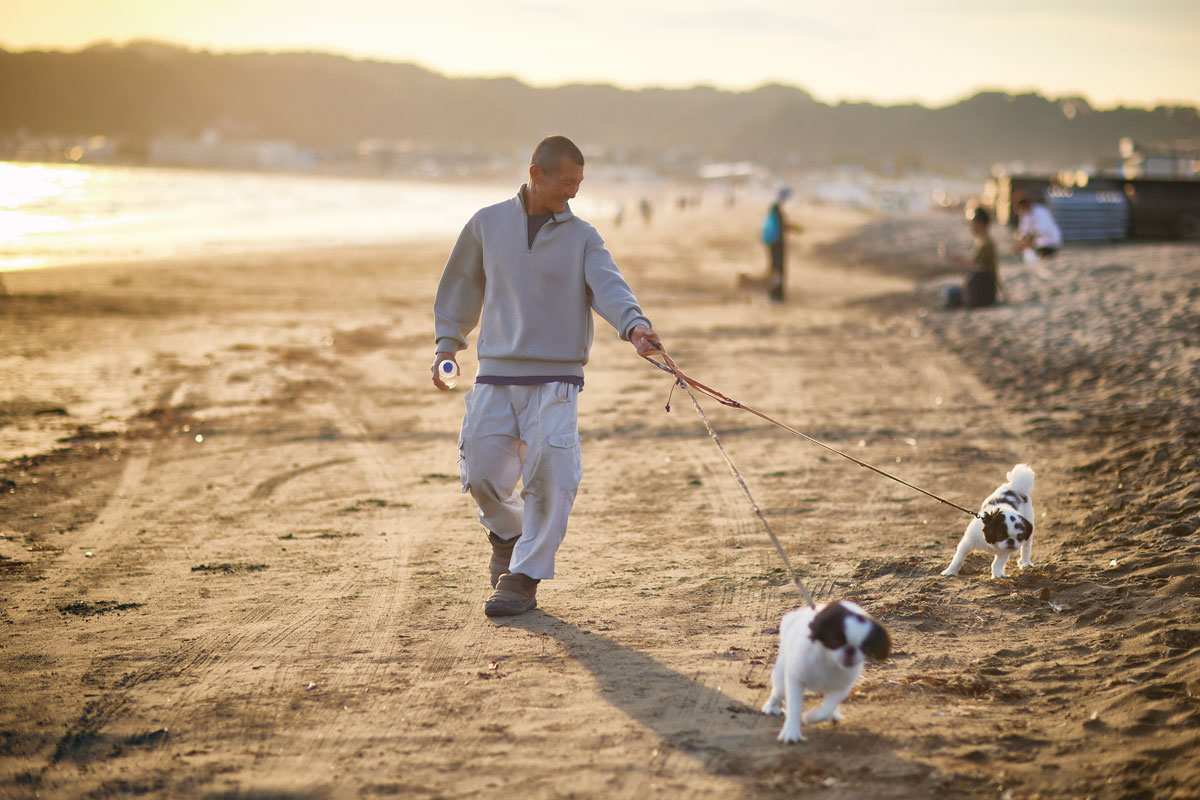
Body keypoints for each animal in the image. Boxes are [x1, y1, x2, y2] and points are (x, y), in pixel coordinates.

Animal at [758, 599, 892, 743]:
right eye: (835, 641)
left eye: (864, 647)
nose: (850, 650)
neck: (829, 661)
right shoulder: (796, 679)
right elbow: (794, 706)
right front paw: (791, 732)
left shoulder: (841, 687)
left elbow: (827, 707)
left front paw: (811, 717)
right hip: (782, 680)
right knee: (778, 692)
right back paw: (771, 706)